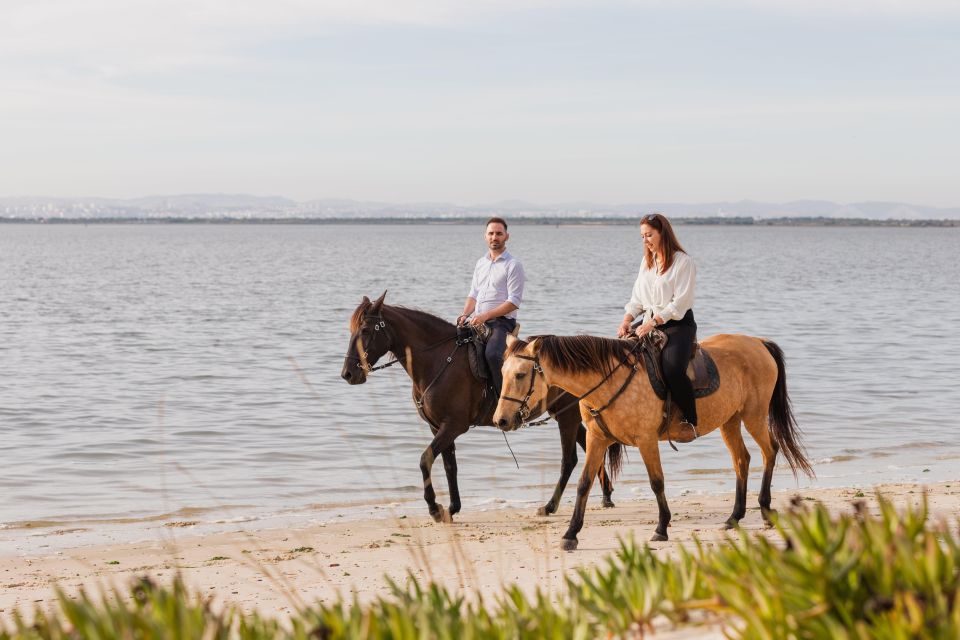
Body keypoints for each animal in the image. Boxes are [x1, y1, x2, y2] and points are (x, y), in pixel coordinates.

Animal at [342, 292, 620, 524]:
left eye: (365, 329)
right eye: (352, 329)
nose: (348, 374)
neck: (439, 360)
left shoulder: (454, 426)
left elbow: (425, 460)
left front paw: (434, 508)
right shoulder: (438, 427)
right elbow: (449, 466)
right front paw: (452, 508)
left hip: (566, 416)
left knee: (569, 459)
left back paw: (550, 506)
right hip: (566, 414)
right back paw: (606, 496)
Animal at [492, 332, 812, 548]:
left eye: (520, 374)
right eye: (502, 372)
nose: (501, 420)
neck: (608, 380)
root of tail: (759, 342)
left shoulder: (646, 440)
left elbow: (656, 482)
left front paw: (661, 528)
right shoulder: (597, 439)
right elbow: (584, 484)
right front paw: (571, 533)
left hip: (753, 415)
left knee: (770, 451)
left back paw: (766, 510)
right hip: (730, 421)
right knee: (741, 460)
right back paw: (734, 517)